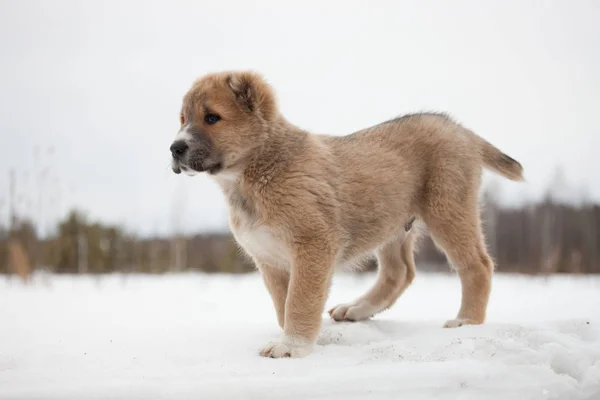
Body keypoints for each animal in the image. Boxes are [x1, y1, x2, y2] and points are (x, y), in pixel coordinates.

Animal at [168, 70, 520, 358]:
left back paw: (467, 321)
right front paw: (302, 338)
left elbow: (299, 301)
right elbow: (284, 304)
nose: (175, 148)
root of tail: (461, 130)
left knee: (477, 265)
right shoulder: (270, 260)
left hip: (447, 208)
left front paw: (292, 346)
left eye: (212, 118)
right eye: (183, 119)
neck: (258, 172)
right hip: (393, 224)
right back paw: (358, 309)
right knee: (400, 272)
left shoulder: (313, 245)